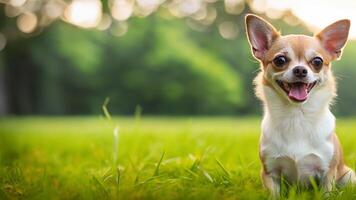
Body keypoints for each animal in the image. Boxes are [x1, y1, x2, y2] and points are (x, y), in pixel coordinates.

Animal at [245, 14, 356, 195]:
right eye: (280, 60)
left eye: (317, 62)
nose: (300, 70)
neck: (296, 116)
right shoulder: (270, 173)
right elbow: (274, 194)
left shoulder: (327, 172)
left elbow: (325, 193)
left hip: (348, 175)